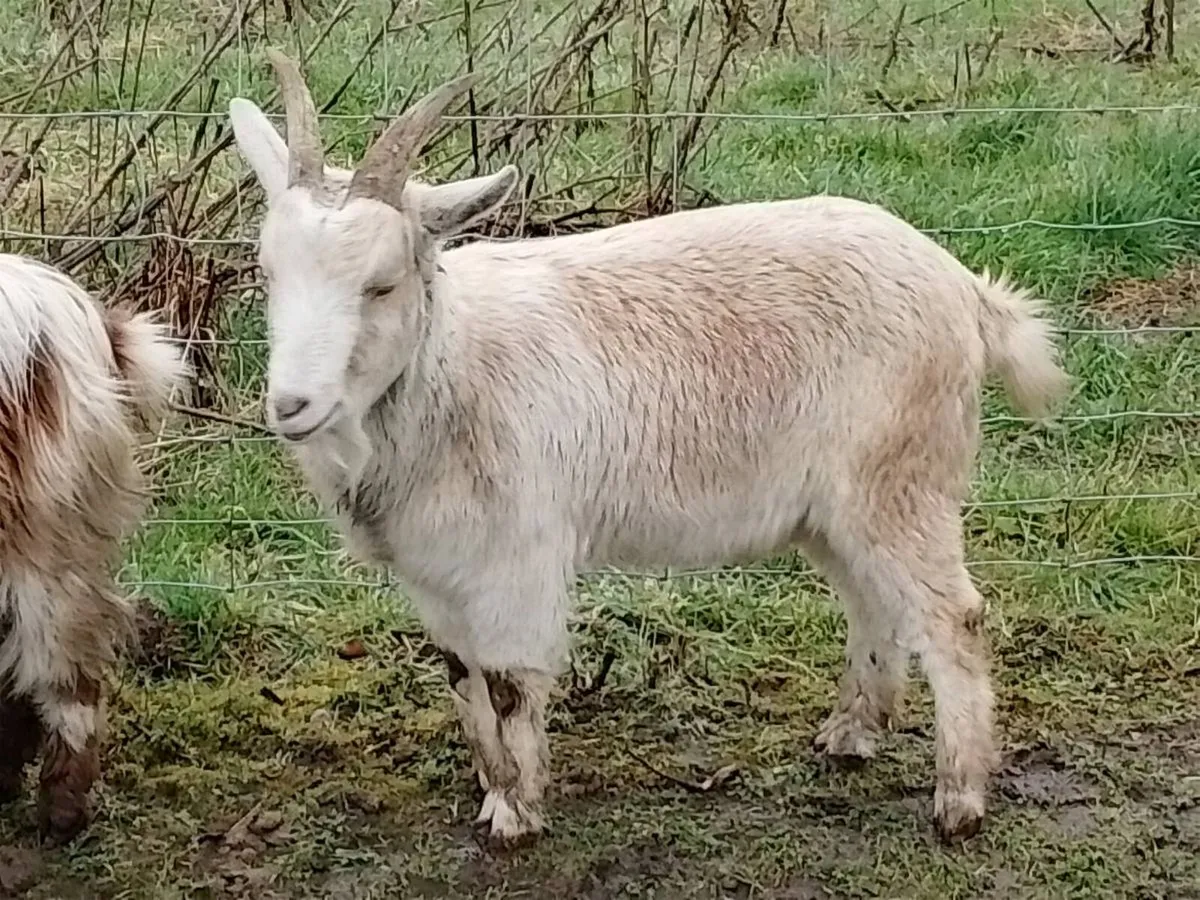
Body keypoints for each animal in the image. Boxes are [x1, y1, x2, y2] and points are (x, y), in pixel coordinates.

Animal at [228, 50, 1069, 847]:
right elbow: (462, 681)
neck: (451, 365)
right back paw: (851, 733)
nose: (291, 405)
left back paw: (959, 800)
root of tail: (963, 288)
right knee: (873, 601)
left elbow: (507, 685)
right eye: (269, 274)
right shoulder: (436, 570)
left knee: (951, 615)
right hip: (835, 505)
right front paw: (495, 791)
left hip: (899, 477)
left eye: (381, 284)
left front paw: (517, 815)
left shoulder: (516, 558)